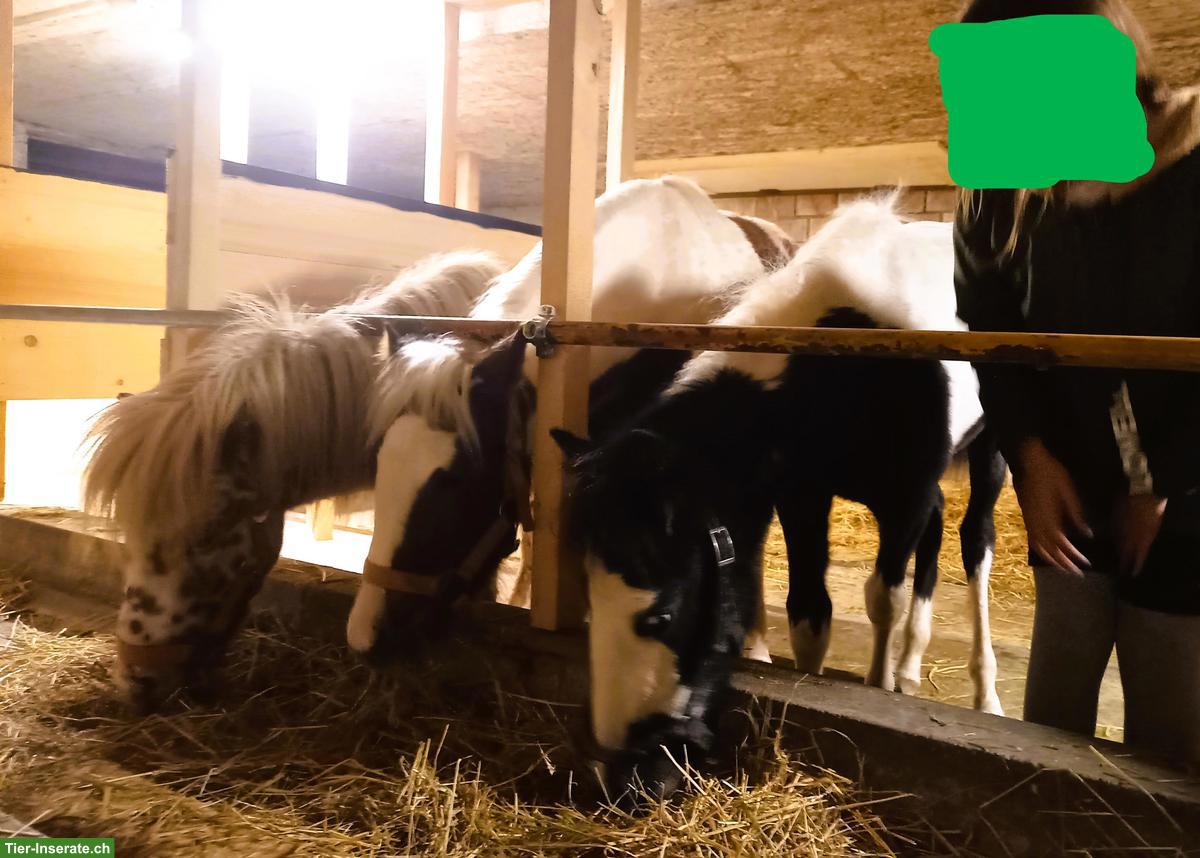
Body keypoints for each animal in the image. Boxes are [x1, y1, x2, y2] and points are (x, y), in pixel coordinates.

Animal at [551, 194, 1007, 800]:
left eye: (661, 618)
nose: (619, 776)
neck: (845, 367)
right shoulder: (802, 497)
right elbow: (810, 615)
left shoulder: (903, 496)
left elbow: (881, 599)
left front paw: (878, 686)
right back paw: (912, 667)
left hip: (992, 452)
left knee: (975, 541)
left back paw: (984, 694)